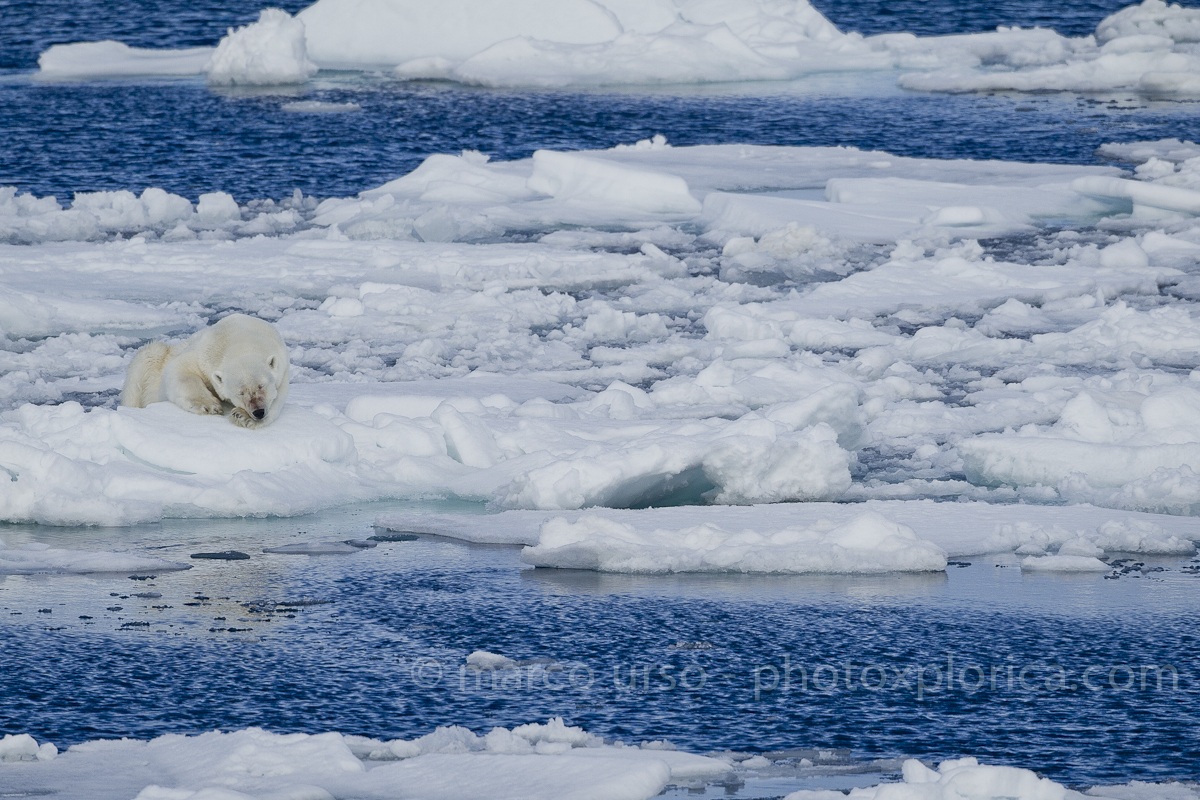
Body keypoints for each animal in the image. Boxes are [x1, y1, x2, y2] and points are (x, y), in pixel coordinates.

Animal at [121, 313, 290, 429]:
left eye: (262, 386)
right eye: (240, 393)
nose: (258, 412)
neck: (244, 341)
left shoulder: (283, 370)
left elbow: (278, 400)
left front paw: (243, 417)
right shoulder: (205, 354)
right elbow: (180, 370)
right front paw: (210, 406)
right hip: (154, 360)